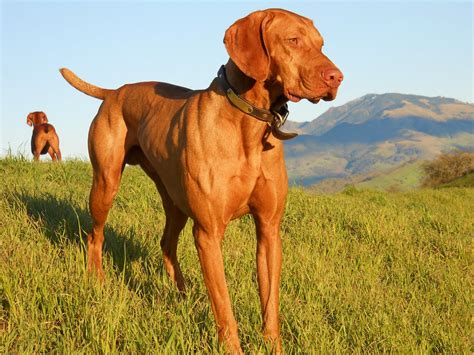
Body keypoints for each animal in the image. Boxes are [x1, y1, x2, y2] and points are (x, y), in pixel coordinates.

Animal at [59, 8, 342, 354]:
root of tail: (114, 92)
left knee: (166, 244)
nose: (337, 77)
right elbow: (224, 307)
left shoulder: (269, 230)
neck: (248, 123)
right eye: (293, 40)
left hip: (175, 201)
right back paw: (97, 281)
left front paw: (272, 345)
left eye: (321, 43)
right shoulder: (208, 232)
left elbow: (270, 304)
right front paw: (232, 347)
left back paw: (182, 298)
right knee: (95, 235)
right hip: (105, 184)